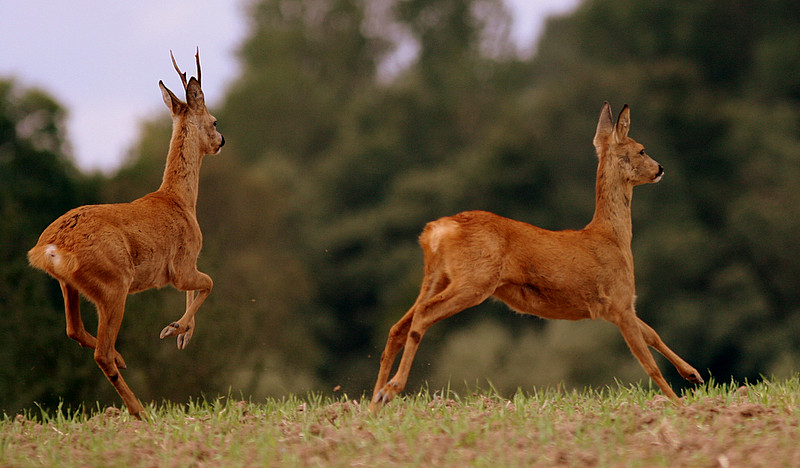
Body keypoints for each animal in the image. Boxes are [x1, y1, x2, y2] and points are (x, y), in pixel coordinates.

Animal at [27, 50, 225, 416]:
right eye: (215, 121)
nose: (221, 141)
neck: (180, 201)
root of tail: (48, 248)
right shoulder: (180, 265)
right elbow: (208, 283)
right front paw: (175, 330)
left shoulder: (181, 268)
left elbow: (197, 288)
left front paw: (181, 333)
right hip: (114, 282)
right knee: (100, 352)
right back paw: (139, 410)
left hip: (69, 284)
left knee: (74, 329)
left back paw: (123, 361)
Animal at [368, 101, 700, 410]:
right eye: (641, 149)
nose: (660, 169)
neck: (612, 237)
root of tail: (435, 231)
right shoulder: (618, 301)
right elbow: (649, 363)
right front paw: (680, 405)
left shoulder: (615, 306)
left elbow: (652, 334)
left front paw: (693, 374)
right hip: (475, 279)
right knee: (423, 316)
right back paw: (392, 389)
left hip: (436, 276)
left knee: (398, 327)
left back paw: (375, 402)